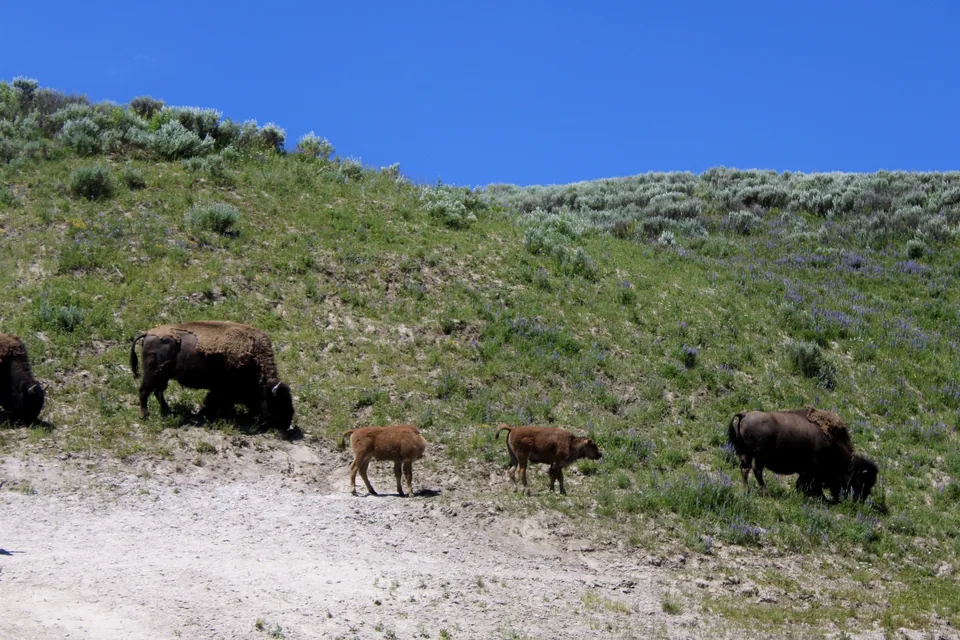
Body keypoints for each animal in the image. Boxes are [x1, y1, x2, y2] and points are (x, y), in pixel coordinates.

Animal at [129, 321, 294, 433]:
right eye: (278, 403)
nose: (287, 424)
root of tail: (147, 333)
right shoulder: (222, 390)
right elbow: (215, 401)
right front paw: (215, 415)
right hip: (153, 374)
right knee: (144, 391)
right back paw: (145, 416)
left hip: (163, 377)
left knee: (158, 392)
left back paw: (168, 411)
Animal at [728, 408, 878, 502]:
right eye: (860, 481)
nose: (860, 500)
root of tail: (744, 415)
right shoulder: (813, 471)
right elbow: (811, 484)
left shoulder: (806, 471)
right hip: (758, 456)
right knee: (756, 471)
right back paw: (766, 492)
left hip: (747, 455)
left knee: (745, 469)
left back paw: (747, 491)